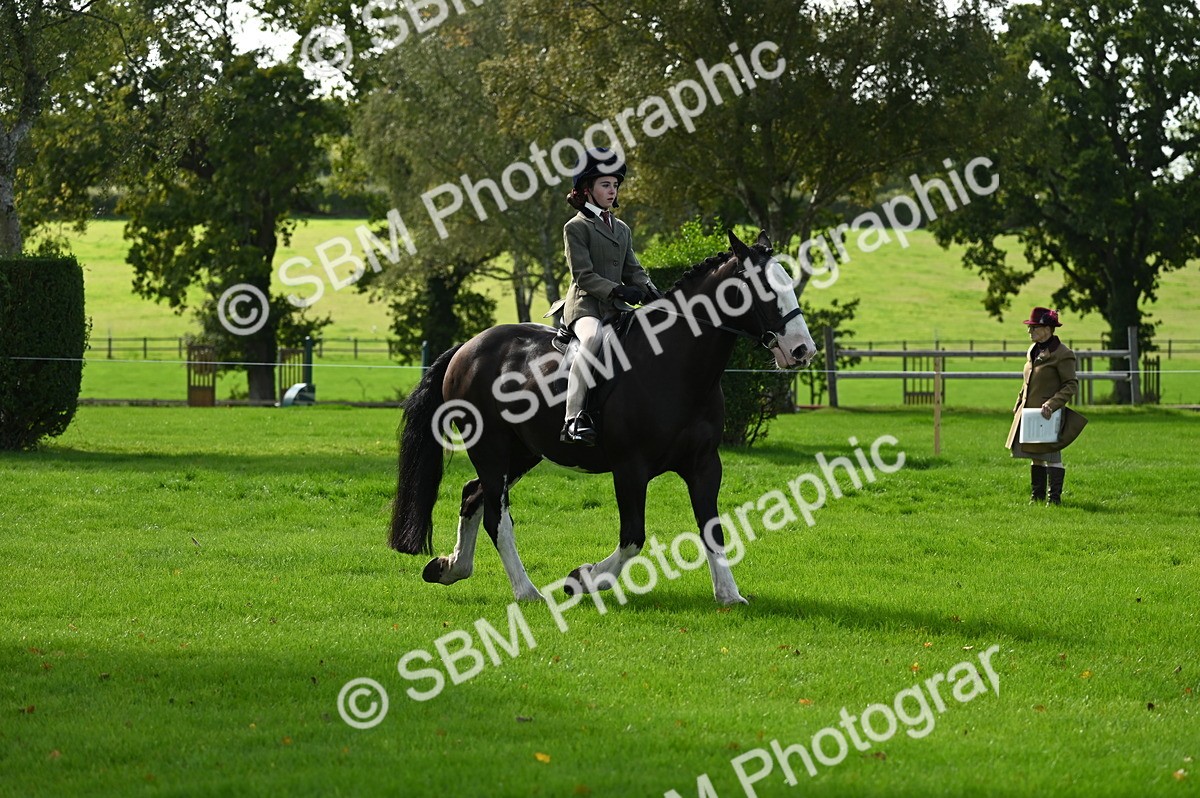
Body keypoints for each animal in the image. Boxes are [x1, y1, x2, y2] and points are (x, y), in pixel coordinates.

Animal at [389, 230, 816, 605]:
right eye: (764, 288)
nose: (802, 350)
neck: (673, 364)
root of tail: (468, 347)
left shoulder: (705, 465)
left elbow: (712, 529)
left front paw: (728, 594)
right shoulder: (631, 468)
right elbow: (633, 538)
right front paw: (583, 579)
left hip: (523, 452)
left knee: (472, 495)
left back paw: (450, 568)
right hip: (490, 447)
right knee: (496, 513)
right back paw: (527, 592)